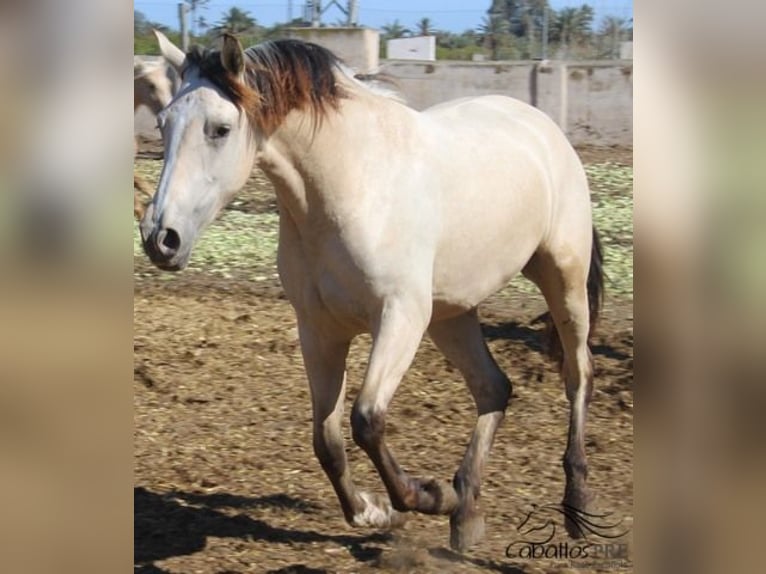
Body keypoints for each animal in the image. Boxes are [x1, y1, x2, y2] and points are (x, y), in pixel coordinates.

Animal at [142, 32, 608, 552]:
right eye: (163, 124)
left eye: (220, 129)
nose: (161, 239)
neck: (351, 185)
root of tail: (542, 126)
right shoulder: (319, 329)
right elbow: (326, 439)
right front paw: (375, 511)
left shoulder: (399, 317)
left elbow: (366, 419)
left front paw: (426, 496)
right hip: (452, 314)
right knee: (494, 388)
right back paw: (466, 512)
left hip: (561, 280)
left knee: (578, 375)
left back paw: (576, 502)